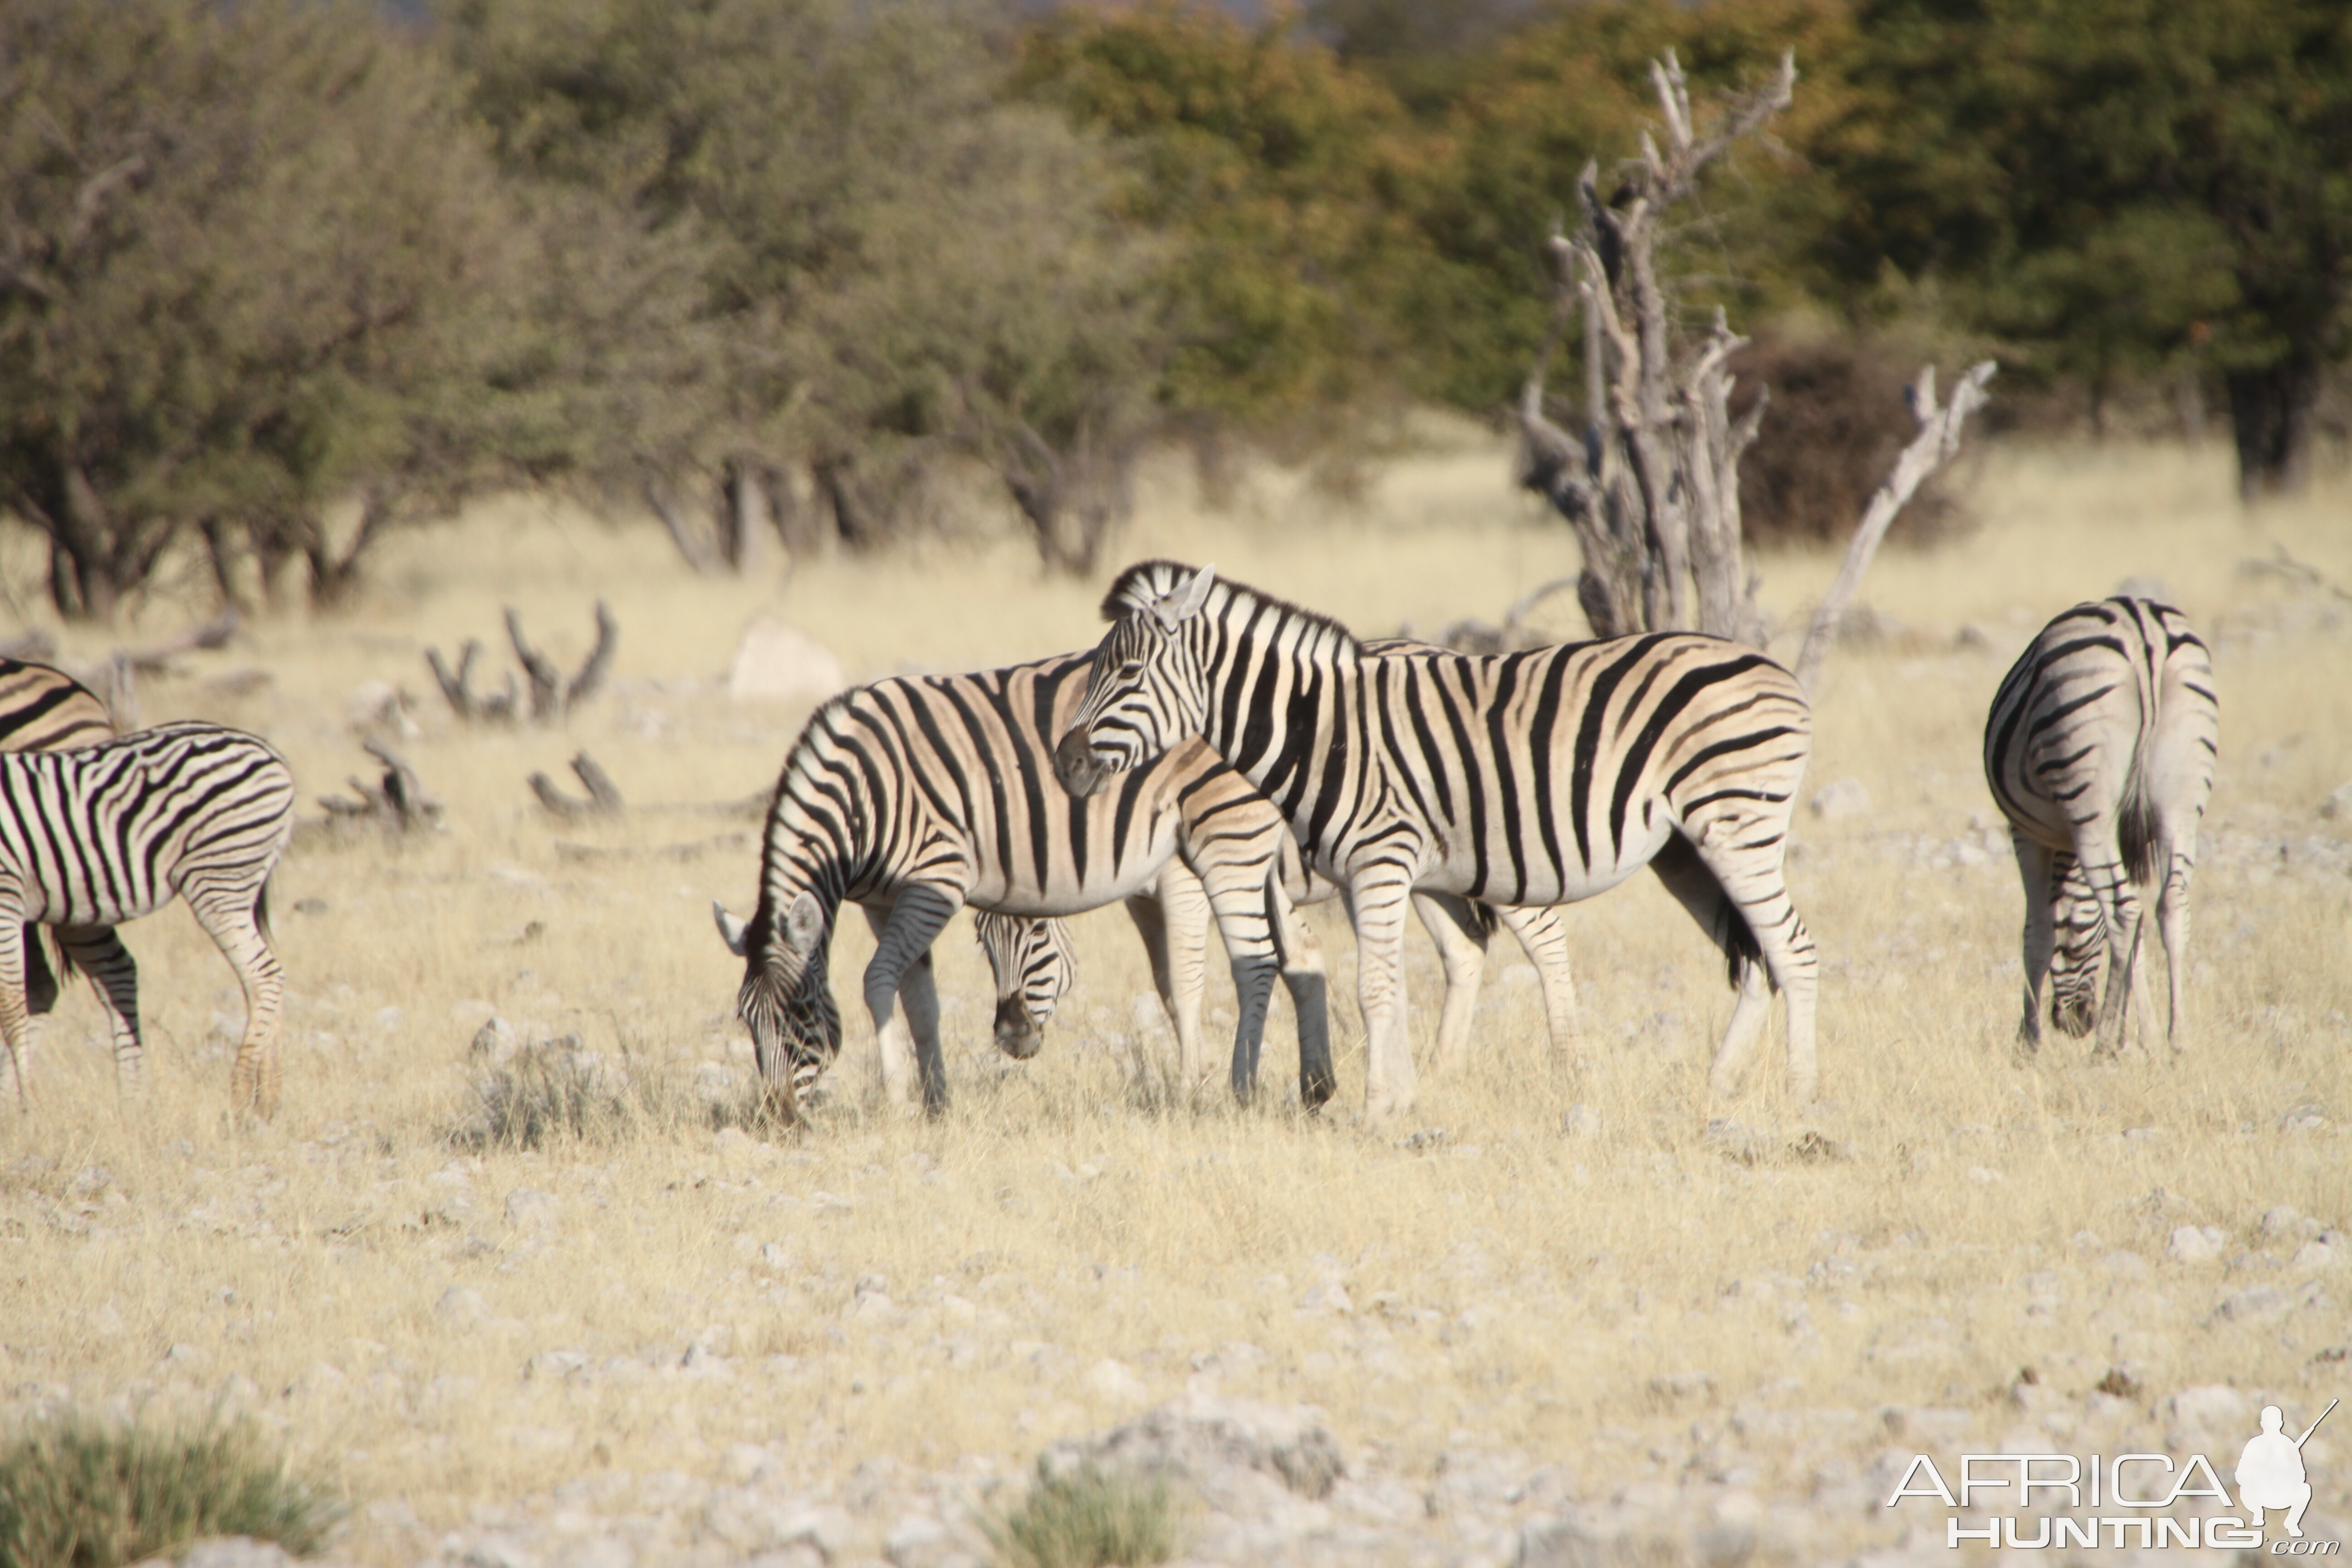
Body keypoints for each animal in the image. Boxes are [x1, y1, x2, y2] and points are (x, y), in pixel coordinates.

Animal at [0, 724, 296, 1114]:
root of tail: (272, 754)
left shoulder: (6, 893)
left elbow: (11, 1006)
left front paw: (29, 1107)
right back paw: (266, 1099)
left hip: (219, 876)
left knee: (264, 975)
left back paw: (238, 1098)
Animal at [1058, 557, 1825, 1123]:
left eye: (1127, 673)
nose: (1065, 761)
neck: (1323, 733)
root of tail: (1771, 668)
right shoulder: (1369, 873)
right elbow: (1388, 986)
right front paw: (1400, 1098)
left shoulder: (1379, 861)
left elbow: (1372, 988)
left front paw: (1375, 1109)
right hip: (1685, 849)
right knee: (1754, 958)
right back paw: (1718, 1086)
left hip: (1738, 825)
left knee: (1793, 950)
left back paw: (1799, 1097)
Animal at [1975, 597, 2210, 1053]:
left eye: (2077, 934)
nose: (2074, 1023)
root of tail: (2143, 627)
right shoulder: (2130, 837)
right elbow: (2138, 941)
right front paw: (2145, 1036)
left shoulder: (2025, 835)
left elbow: (2037, 934)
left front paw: (2028, 1042)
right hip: (2182, 798)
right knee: (2170, 906)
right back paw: (2177, 1041)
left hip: (2088, 794)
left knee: (2124, 909)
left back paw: (2102, 1048)